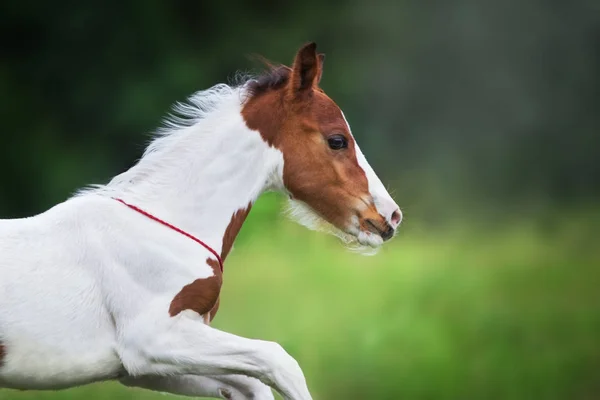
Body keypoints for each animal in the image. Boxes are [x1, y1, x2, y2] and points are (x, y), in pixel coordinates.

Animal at [2, 43, 404, 400]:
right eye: (337, 140)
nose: (390, 216)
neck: (162, 232)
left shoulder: (145, 368)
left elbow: (251, 384)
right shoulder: (150, 340)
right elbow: (279, 361)